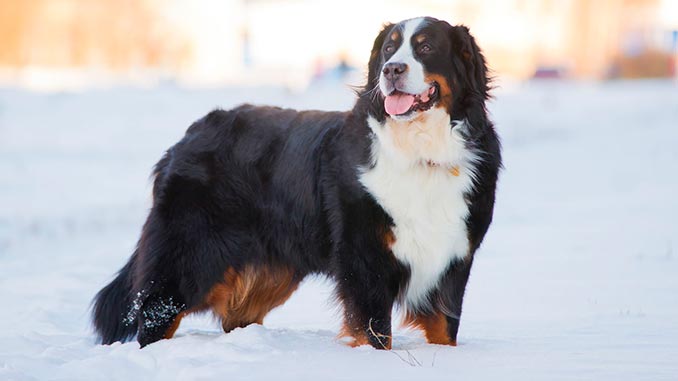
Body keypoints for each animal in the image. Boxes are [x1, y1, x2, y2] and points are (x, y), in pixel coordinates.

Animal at [93, 18, 502, 350]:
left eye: (426, 47)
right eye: (389, 48)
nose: (392, 69)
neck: (421, 152)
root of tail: (189, 135)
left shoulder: (452, 259)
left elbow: (445, 330)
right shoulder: (364, 258)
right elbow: (375, 334)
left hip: (270, 271)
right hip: (189, 256)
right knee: (156, 311)